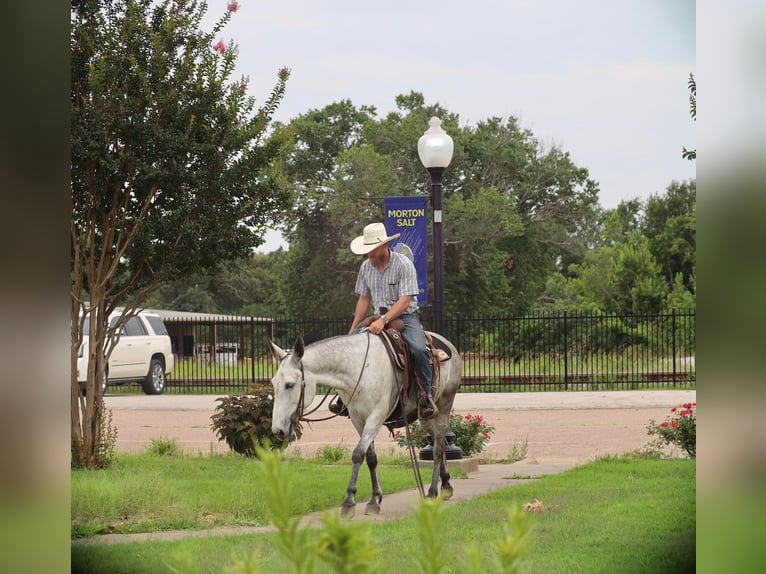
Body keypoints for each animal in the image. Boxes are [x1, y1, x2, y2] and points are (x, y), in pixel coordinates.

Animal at [270, 330, 462, 520]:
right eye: (273, 383)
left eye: (290, 385)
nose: (277, 430)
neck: (358, 369)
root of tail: (448, 345)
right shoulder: (358, 419)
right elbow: (371, 458)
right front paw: (375, 499)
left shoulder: (375, 416)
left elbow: (358, 454)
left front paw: (349, 501)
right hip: (426, 417)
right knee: (439, 443)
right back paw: (446, 485)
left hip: (443, 407)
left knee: (437, 448)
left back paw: (432, 492)